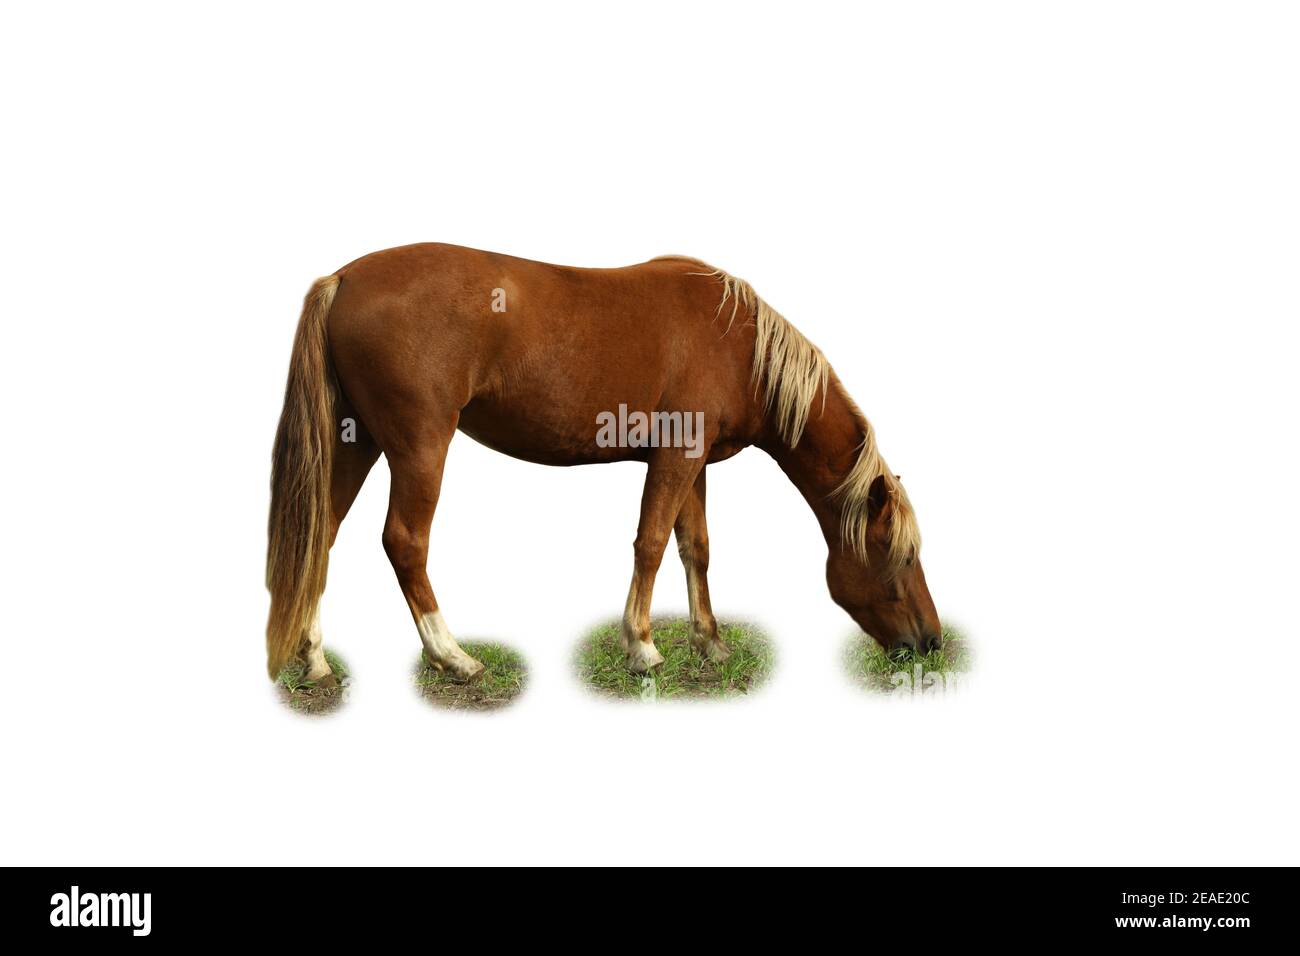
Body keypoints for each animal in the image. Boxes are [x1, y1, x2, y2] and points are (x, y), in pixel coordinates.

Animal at [266, 243, 940, 684]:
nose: (931, 642)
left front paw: (710, 644)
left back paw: (314, 659)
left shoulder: (695, 463)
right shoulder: (674, 458)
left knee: (320, 537)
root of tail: (342, 278)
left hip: (356, 442)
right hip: (419, 446)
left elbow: (695, 548)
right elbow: (651, 542)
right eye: (899, 554)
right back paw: (453, 657)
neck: (737, 343)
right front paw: (642, 647)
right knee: (404, 542)